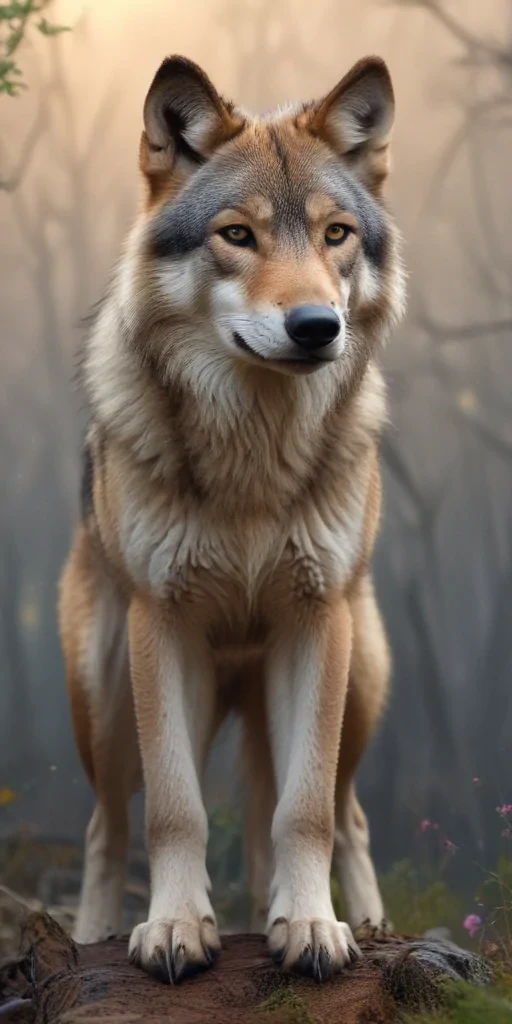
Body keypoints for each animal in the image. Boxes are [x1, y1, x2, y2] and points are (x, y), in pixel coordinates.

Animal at [58, 53, 405, 984]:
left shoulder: (316, 622)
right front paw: (175, 930)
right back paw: (90, 939)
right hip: (104, 698)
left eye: (334, 235)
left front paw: (313, 927)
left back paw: (367, 925)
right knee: (106, 823)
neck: (255, 456)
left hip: (357, 683)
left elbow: (305, 812)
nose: (316, 325)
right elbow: (173, 808)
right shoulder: (162, 624)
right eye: (238, 236)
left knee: (343, 814)